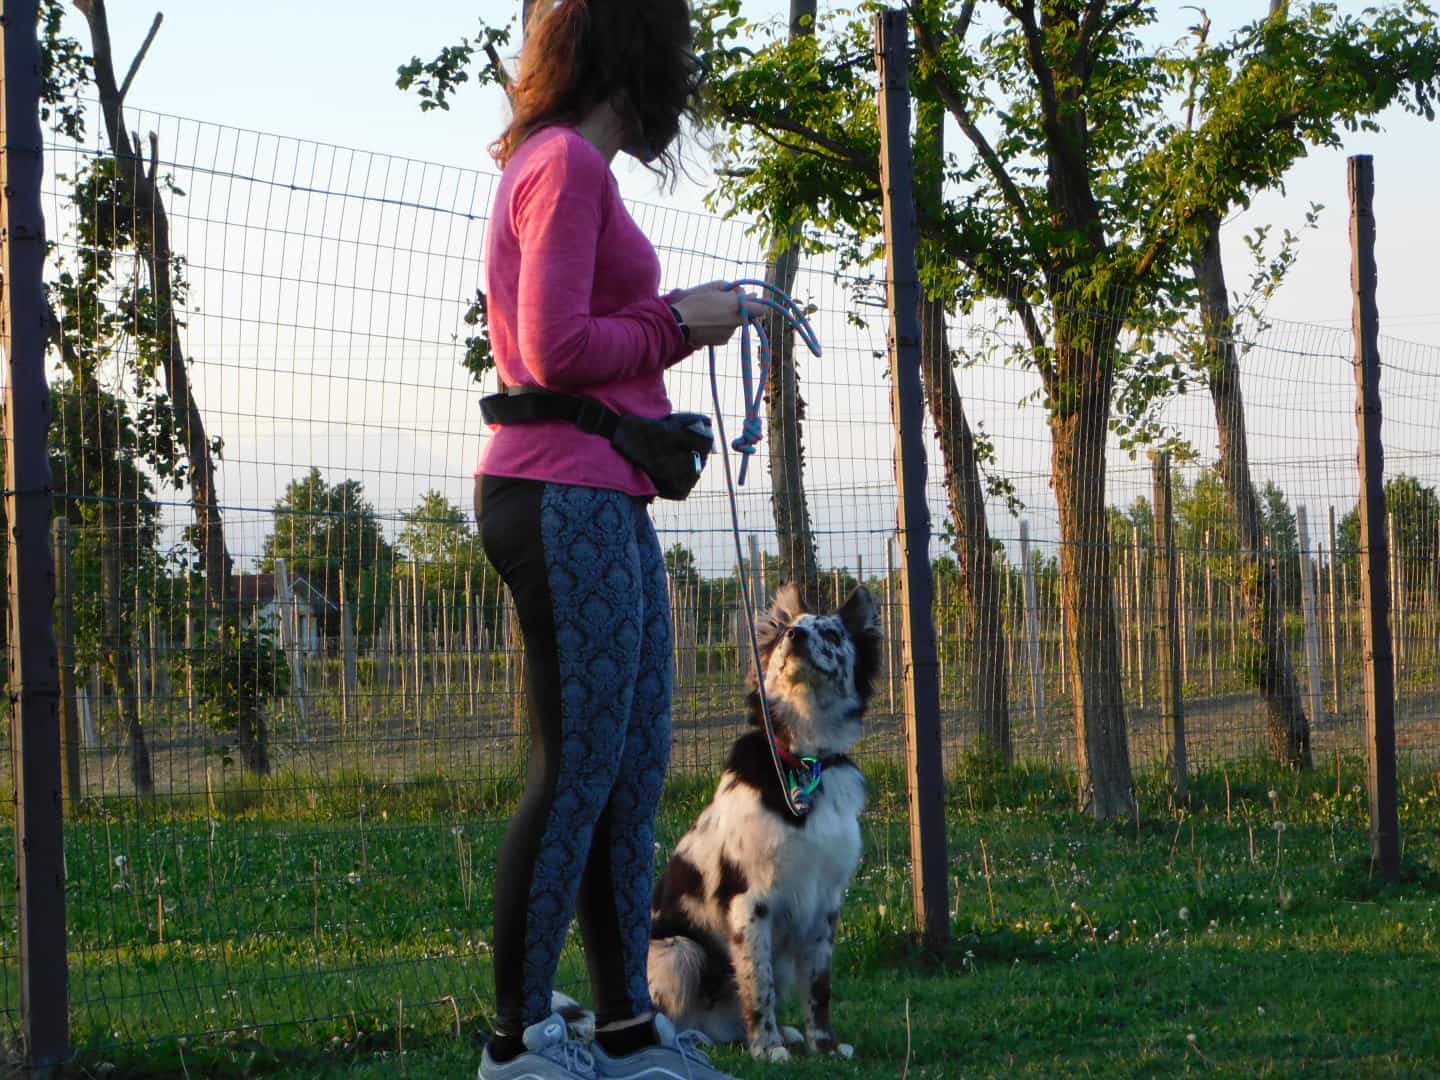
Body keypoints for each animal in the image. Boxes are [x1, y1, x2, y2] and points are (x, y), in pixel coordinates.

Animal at [650, 584, 875, 1065]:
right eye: (794, 627)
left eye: (831, 632)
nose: (795, 636)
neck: (802, 761)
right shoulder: (750, 902)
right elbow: (760, 985)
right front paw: (768, 1047)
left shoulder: (825, 903)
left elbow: (819, 988)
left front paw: (823, 1045)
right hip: (680, 951)